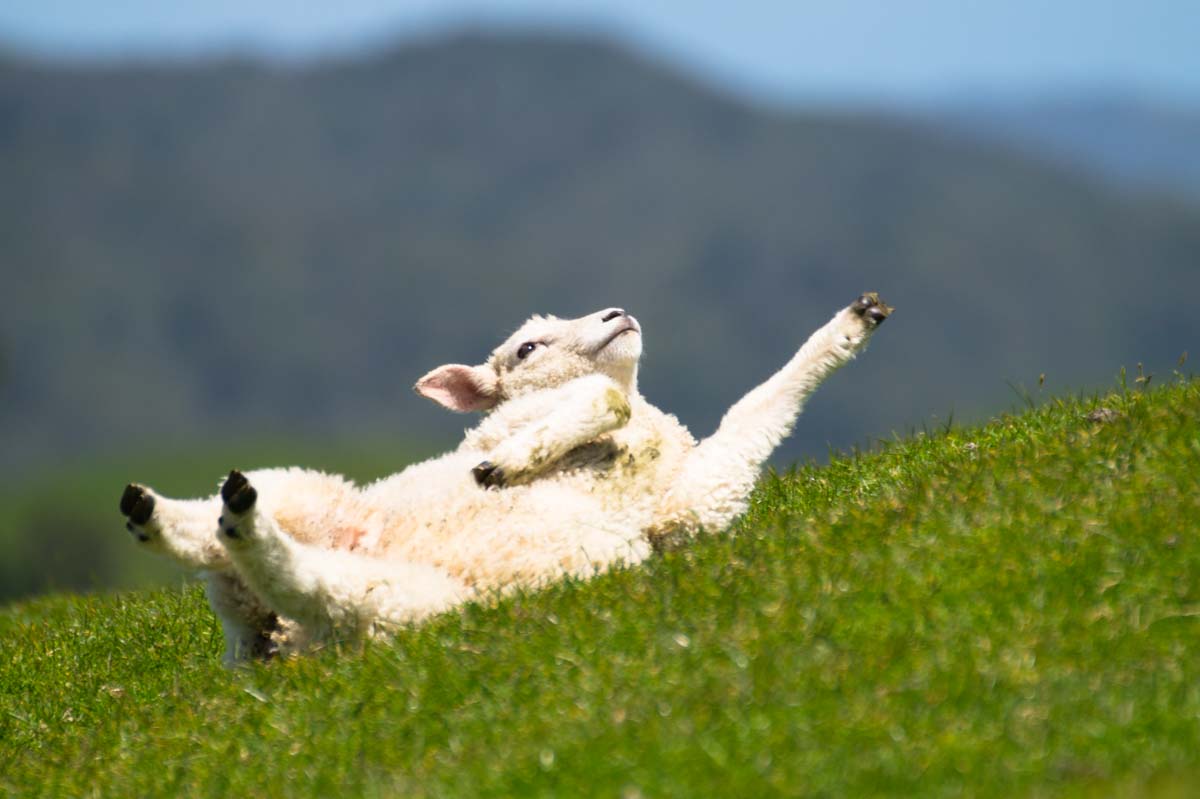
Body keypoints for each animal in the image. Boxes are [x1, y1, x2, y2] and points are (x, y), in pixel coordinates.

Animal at [119, 292, 892, 657]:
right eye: (526, 348)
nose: (618, 311)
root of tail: (269, 646)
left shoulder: (692, 504)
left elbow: (754, 410)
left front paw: (854, 324)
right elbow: (607, 401)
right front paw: (511, 465)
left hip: (403, 599)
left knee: (271, 570)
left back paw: (190, 515)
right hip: (363, 563)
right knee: (291, 574)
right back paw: (188, 512)